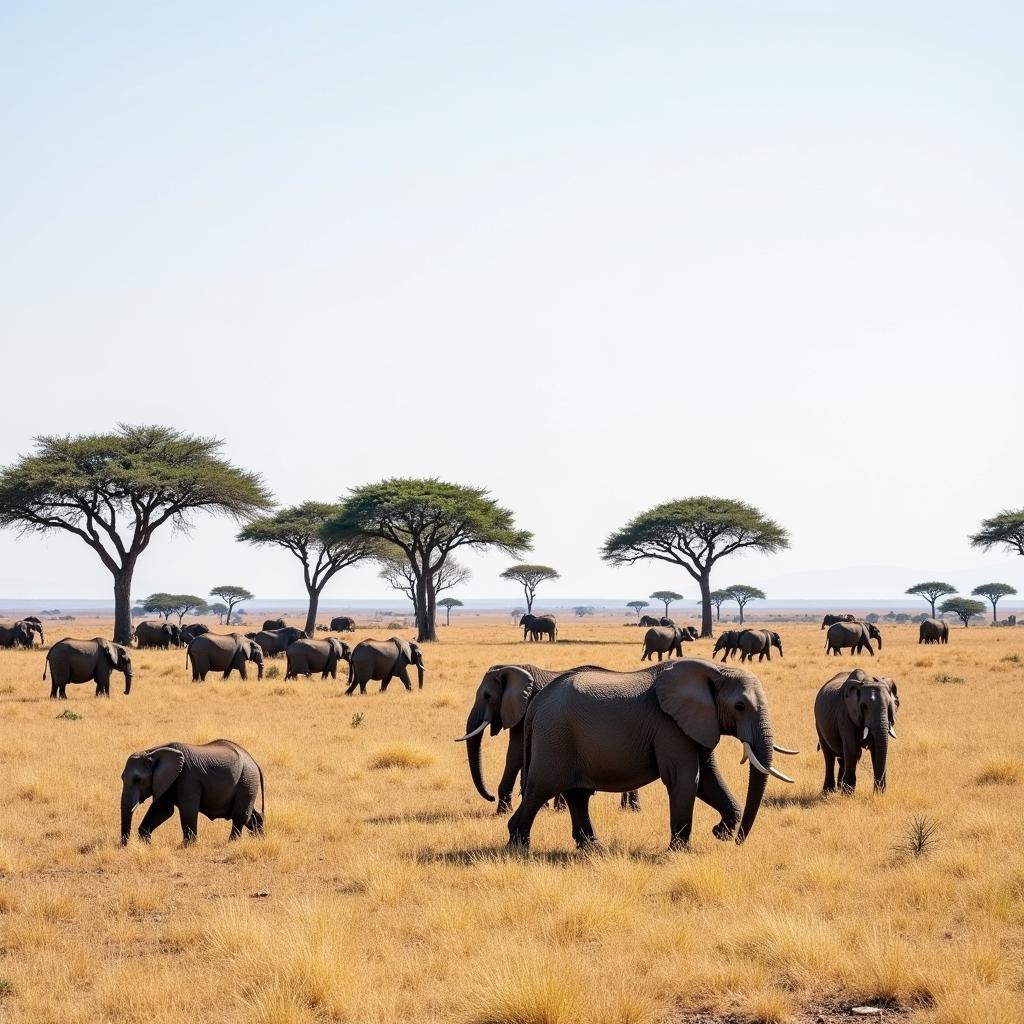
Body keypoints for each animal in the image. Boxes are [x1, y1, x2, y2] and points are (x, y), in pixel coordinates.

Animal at [119, 741, 266, 843]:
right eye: (122, 778)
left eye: (138, 779)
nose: (124, 846)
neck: (153, 752)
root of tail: (254, 761)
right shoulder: (166, 780)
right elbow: (162, 810)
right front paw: (145, 842)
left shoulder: (188, 778)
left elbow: (187, 809)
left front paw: (186, 846)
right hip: (248, 781)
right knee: (250, 814)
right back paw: (259, 839)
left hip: (247, 779)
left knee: (240, 815)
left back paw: (231, 843)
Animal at [456, 663, 638, 815]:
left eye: (487, 696)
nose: (491, 796)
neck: (512, 668)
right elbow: (516, 751)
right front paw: (506, 811)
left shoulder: (528, 705)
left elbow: (516, 753)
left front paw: (506, 811)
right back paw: (627, 808)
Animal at [505, 659, 798, 851]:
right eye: (740, 706)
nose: (737, 842)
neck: (715, 671)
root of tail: (536, 704)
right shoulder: (669, 726)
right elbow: (686, 780)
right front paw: (680, 853)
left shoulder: (697, 724)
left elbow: (708, 781)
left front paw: (720, 832)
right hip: (554, 738)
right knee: (541, 789)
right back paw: (519, 847)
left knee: (577, 794)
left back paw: (593, 848)